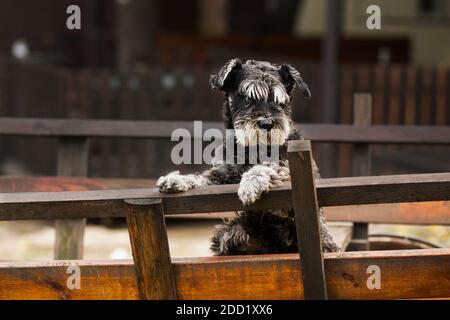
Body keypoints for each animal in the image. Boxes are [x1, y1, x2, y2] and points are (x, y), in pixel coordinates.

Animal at [157, 59, 338, 255]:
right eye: (247, 98)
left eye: (279, 101)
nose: (266, 123)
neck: (254, 149)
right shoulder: (222, 175)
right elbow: (201, 178)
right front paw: (174, 180)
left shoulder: (290, 185)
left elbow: (270, 167)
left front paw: (251, 183)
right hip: (230, 234)